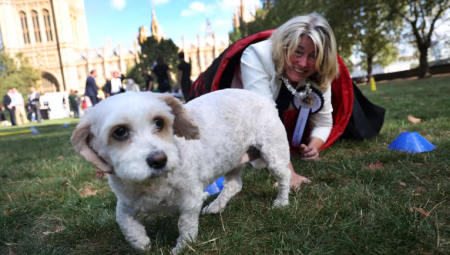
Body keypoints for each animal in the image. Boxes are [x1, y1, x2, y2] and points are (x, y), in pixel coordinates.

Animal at [71, 89, 292, 253]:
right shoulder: (126, 203)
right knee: (234, 185)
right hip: (232, 160)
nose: (159, 159)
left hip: (273, 152)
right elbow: (124, 223)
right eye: (119, 132)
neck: (154, 183)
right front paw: (141, 242)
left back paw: (281, 202)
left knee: (283, 177)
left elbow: (186, 225)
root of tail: (262, 97)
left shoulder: (190, 200)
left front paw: (182, 247)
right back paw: (216, 206)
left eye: (159, 122)